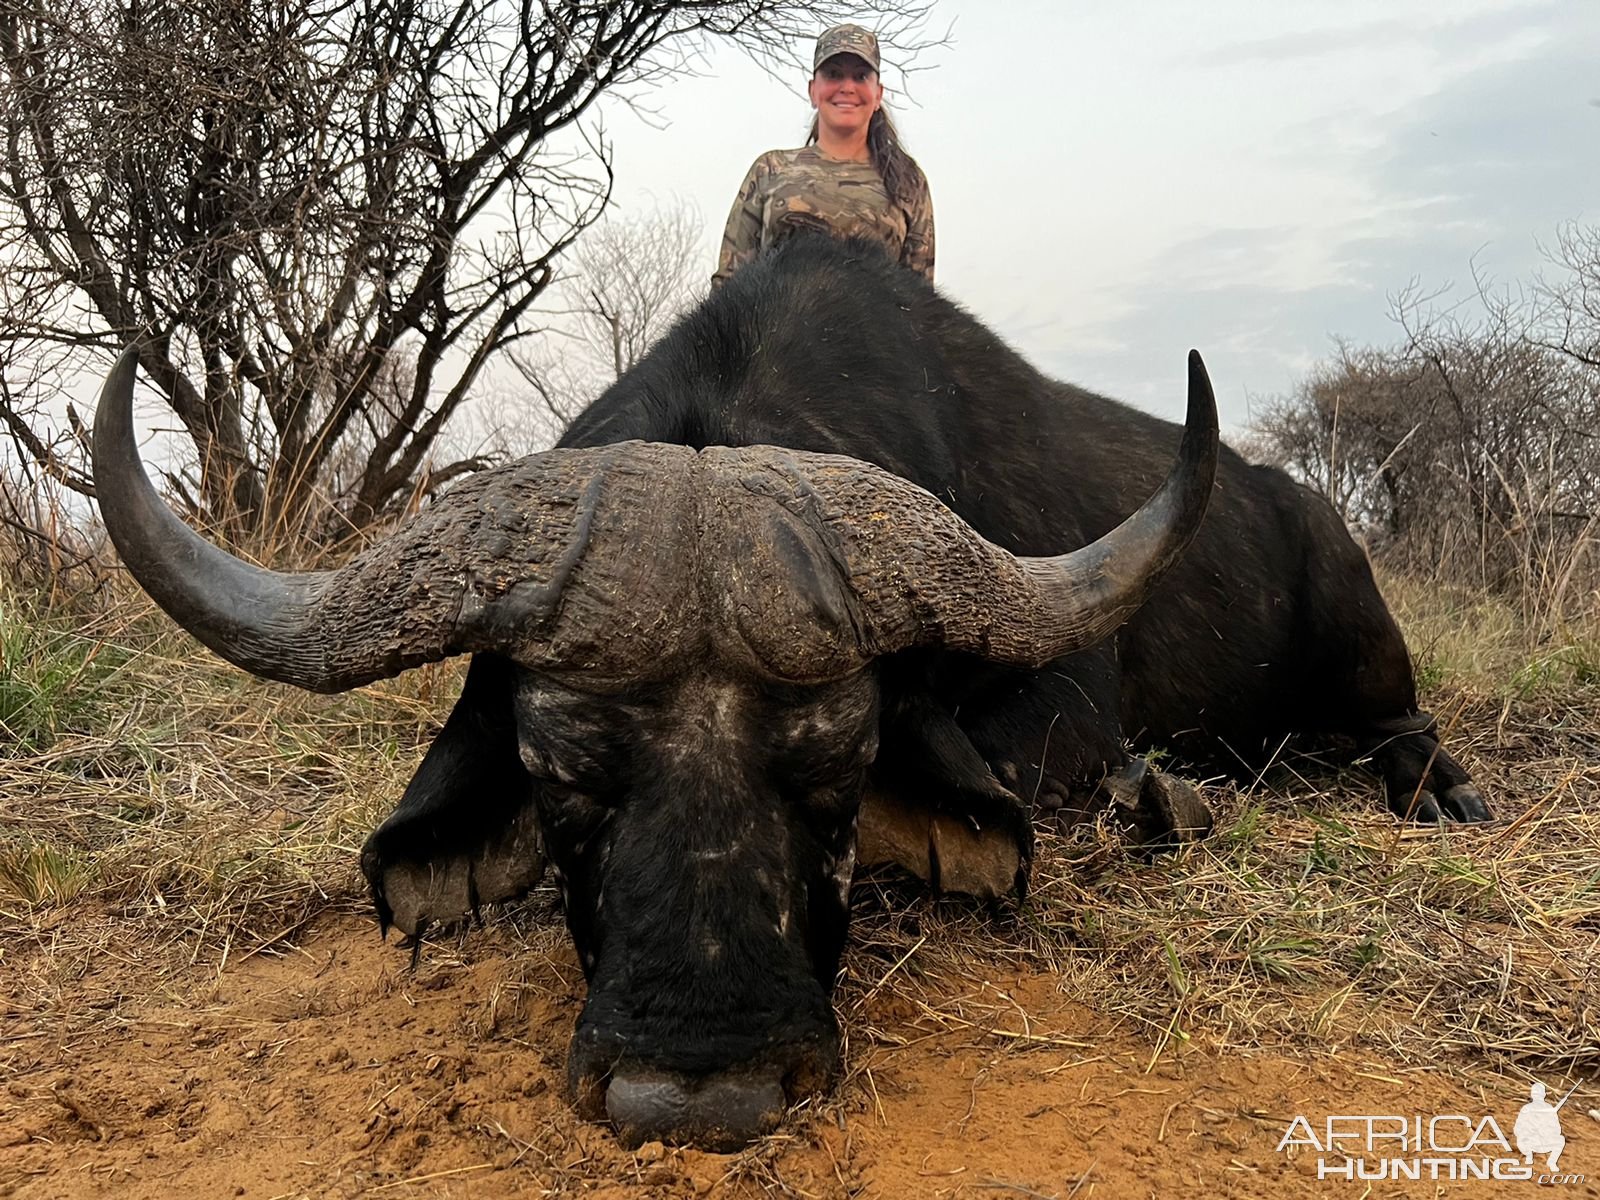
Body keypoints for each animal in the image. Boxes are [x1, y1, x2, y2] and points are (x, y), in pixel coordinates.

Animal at [90, 232, 1484, 1158]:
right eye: (561, 776)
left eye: (838, 767)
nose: (702, 1091)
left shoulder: (1069, 704)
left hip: (1366, 648)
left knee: (1399, 733)